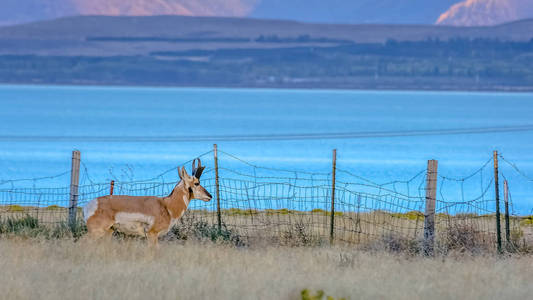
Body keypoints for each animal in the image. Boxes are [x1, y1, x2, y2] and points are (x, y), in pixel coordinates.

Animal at [82, 158, 211, 245]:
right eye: (197, 183)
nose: (210, 196)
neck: (167, 205)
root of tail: (89, 205)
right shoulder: (152, 234)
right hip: (96, 232)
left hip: (108, 232)